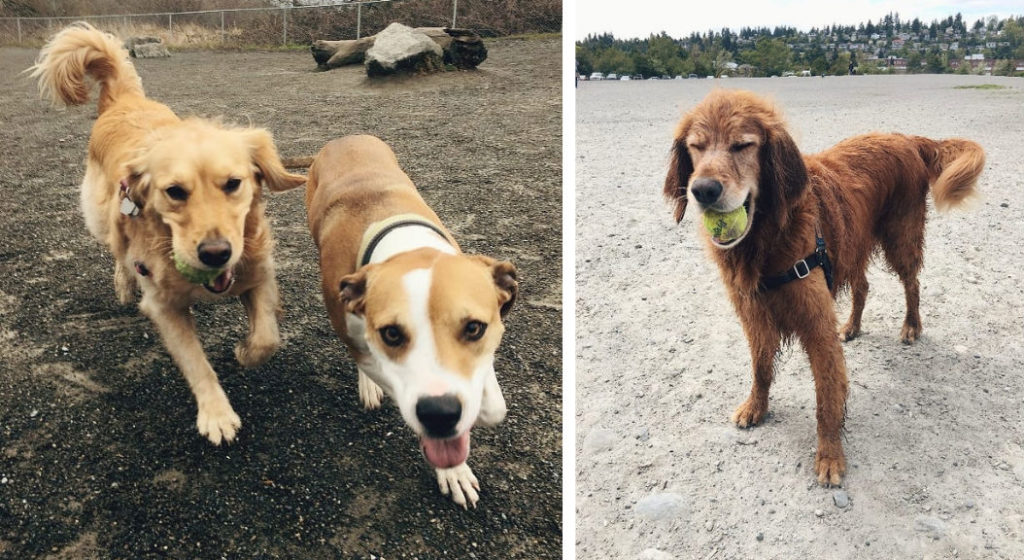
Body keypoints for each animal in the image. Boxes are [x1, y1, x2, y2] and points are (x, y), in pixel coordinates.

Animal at [30, 24, 303, 446]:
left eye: (233, 183)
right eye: (174, 191)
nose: (215, 253)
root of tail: (124, 100)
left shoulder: (258, 272)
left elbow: (267, 337)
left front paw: (245, 351)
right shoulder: (163, 305)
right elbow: (196, 362)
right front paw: (216, 414)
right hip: (103, 215)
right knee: (117, 250)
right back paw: (124, 284)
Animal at [301, 136, 512, 507]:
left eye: (474, 328)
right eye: (392, 334)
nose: (440, 413)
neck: (407, 250)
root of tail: (341, 139)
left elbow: (493, 403)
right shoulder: (367, 349)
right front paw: (452, 472)